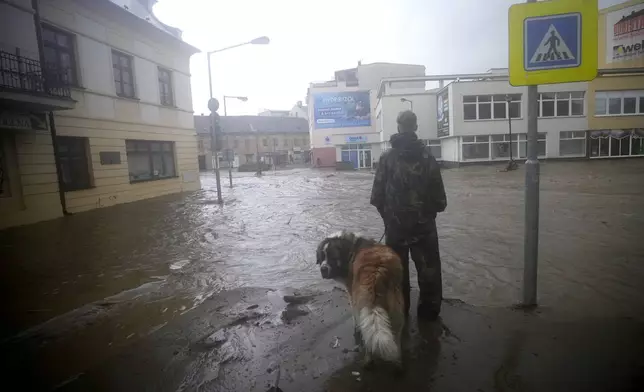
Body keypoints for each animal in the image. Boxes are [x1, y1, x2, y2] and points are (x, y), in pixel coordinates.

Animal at [316, 230, 402, 368]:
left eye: (333, 257)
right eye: (322, 256)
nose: (323, 269)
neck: (350, 250)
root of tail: (378, 271)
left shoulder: (352, 294)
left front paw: (356, 328)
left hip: (362, 302)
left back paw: (368, 359)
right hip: (396, 305)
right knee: (397, 332)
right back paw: (397, 361)